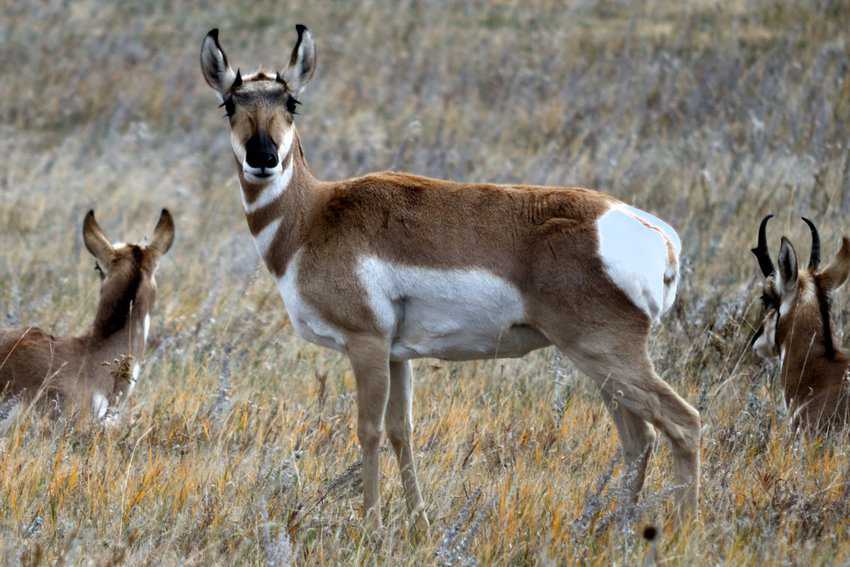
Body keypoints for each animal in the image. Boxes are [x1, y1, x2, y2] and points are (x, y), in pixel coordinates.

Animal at [202, 24, 700, 532]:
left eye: (291, 102)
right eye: (229, 104)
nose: (263, 157)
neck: (316, 216)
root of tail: (654, 232)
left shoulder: (366, 344)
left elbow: (369, 430)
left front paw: (372, 525)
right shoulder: (397, 356)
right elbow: (401, 430)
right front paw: (419, 522)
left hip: (605, 354)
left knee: (682, 422)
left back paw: (676, 528)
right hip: (599, 364)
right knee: (639, 438)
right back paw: (615, 526)